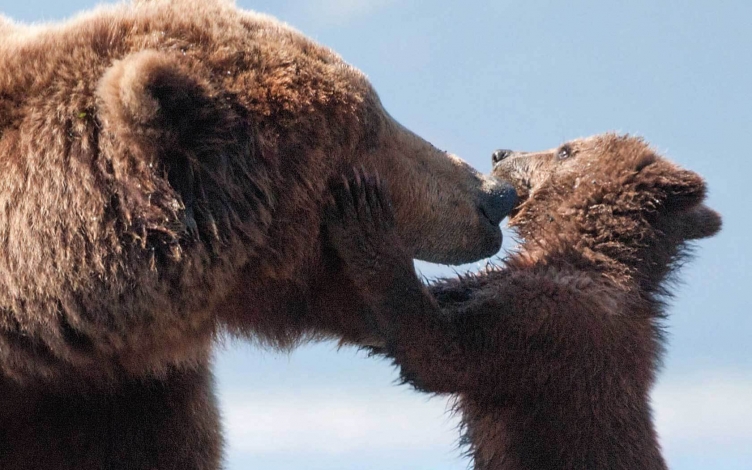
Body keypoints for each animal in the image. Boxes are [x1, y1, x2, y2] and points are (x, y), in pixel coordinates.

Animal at [323, 133, 721, 470]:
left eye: (566, 150)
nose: (500, 153)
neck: (583, 255)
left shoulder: (550, 326)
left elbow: (441, 352)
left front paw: (368, 218)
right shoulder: (504, 288)